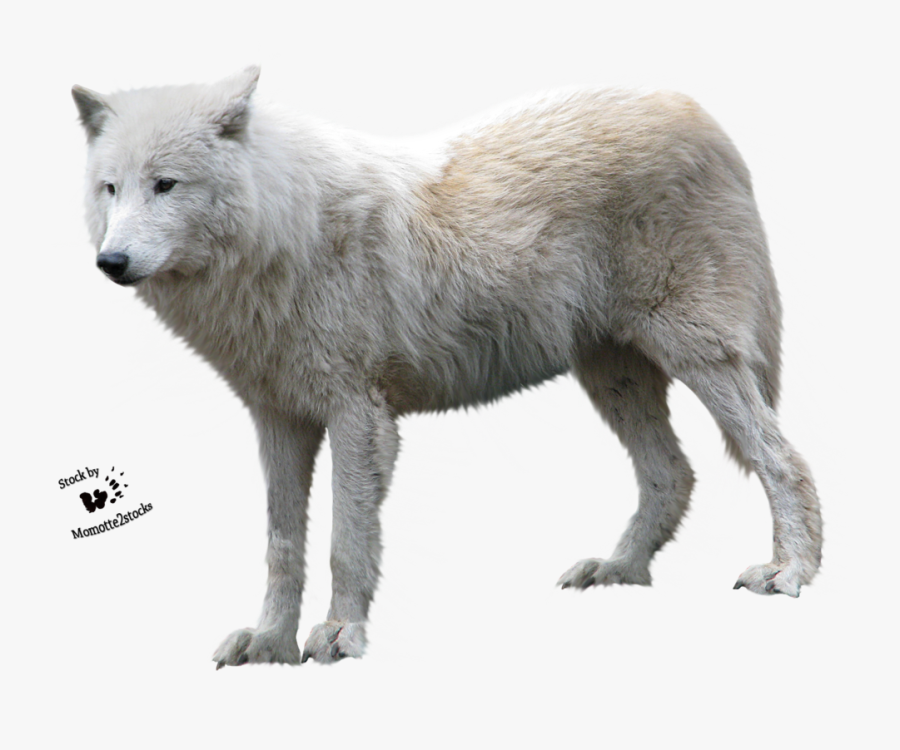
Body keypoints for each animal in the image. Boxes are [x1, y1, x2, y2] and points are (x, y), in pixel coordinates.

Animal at [73, 67, 822, 667]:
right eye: (110, 189)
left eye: (166, 185)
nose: (110, 263)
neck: (283, 235)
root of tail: (691, 107)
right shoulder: (278, 419)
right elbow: (282, 548)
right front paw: (269, 644)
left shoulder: (356, 414)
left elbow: (346, 541)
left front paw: (340, 634)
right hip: (611, 374)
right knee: (673, 473)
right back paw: (619, 569)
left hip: (697, 354)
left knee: (783, 460)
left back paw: (789, 572)